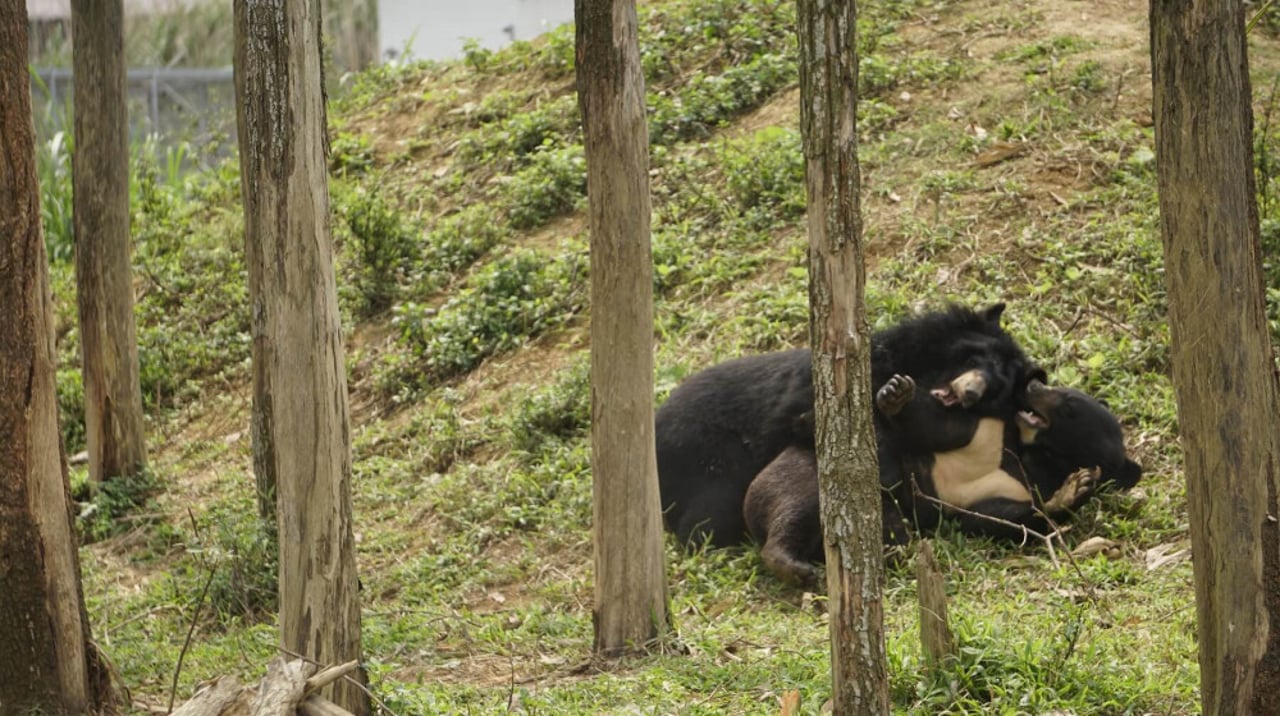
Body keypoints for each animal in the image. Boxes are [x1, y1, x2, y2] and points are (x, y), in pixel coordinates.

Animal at [655, 302, 1034, 548]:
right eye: (975, 359)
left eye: (995, 389)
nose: (970, 393)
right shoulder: (818, 395)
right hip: (709, 460)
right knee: (705, 523)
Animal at [747, 379, 1146, 586]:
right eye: (1059, 390)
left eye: (1068, 406)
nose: (1032, 384)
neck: (1037, 458)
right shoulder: (989, 433)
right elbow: (939, 427)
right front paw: (895, 393)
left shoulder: (1005, 488)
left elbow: (998, 519)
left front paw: (1075, 488)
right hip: (802, 476)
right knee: (795, 511)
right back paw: (797, 567)